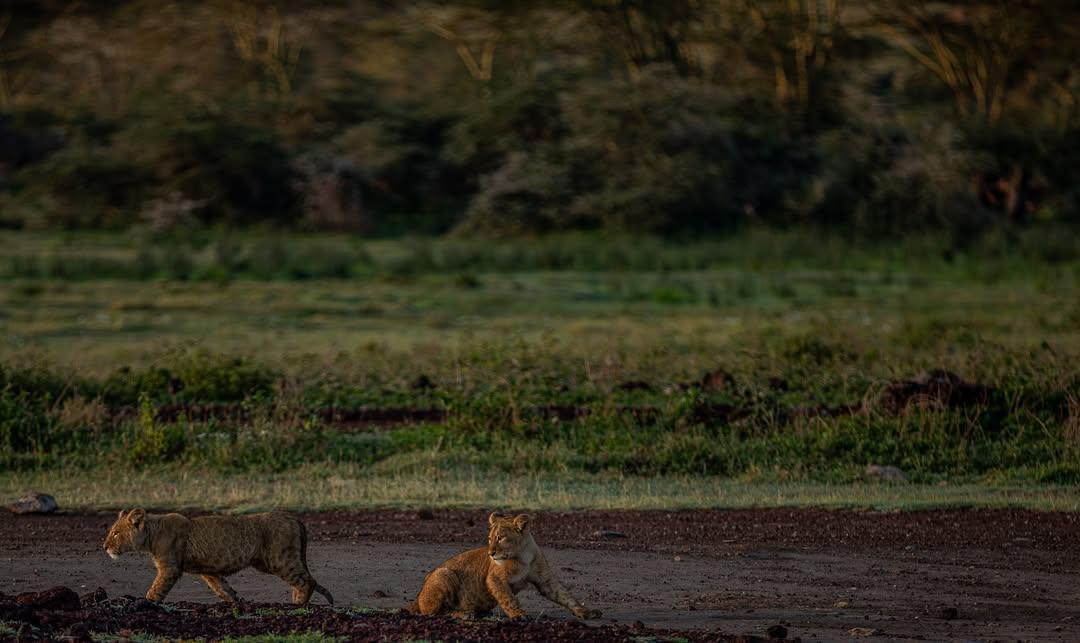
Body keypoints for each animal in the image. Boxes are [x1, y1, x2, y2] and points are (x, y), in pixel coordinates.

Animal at [103, 509, 333, 605]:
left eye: (115, 533)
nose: (104, 546)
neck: (152, 533)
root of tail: (293, 517)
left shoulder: (169, 568)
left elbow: (156, 589)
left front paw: (145, 604)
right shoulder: (208, 571)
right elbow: (223, 588)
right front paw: (236, 603)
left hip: (279, 559)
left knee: (307, 581)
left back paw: (297, 605)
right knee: (304, 580)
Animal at [408, 512, 601, 620]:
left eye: (500, 538)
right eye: (489, 539)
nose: (490, 553)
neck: (523, 555)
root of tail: (417, 599)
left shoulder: (545, 580)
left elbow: (566, 596)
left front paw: (586, 612)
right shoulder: (494, 578)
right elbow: (509, 599)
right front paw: (519, 615)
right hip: (443, 573)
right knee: (435, 613)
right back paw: (464, 613)